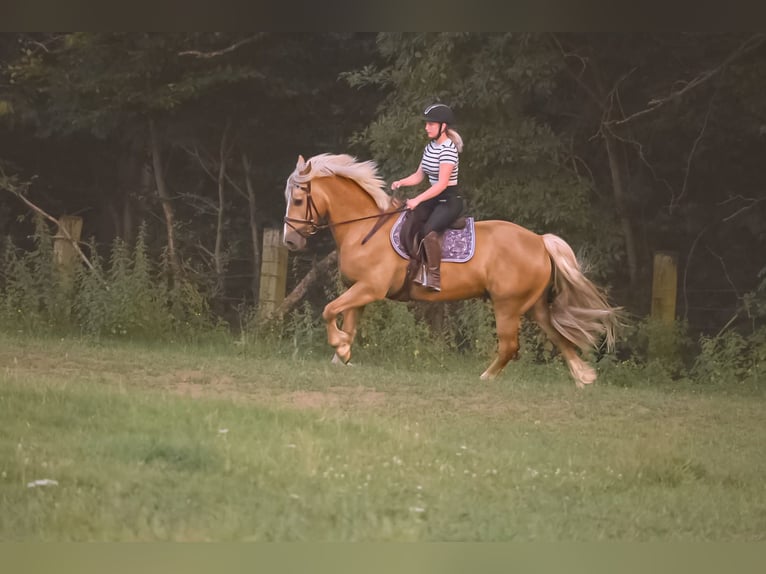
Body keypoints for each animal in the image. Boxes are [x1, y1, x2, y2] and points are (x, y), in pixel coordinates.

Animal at [282, 153, 624, 390]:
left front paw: (339, 348)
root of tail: (539, 241)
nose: (290, 241)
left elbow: (328, 310)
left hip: (508, 305)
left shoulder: (369, 288)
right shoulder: (359, 290)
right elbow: (348, 325)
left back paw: (486, 378)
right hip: (535, 306)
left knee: (510, 346)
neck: (364, 228)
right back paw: (583, 377)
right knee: (558, 335)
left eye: (298, 200)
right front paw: (342, 354)